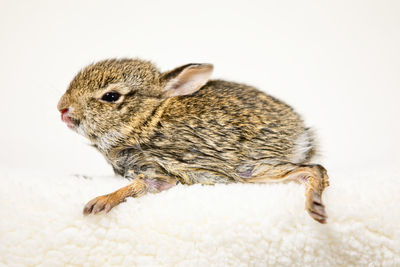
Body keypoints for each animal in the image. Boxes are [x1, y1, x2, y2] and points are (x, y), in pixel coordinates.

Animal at [57, 58, 330, 224]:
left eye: (111, 96)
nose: (62, 109)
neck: (144, 119)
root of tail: (302, 136)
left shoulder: (159, 168)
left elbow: (142, 185)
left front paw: (99, 203)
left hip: (248, 168)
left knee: (314, 170)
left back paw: (315, 206)